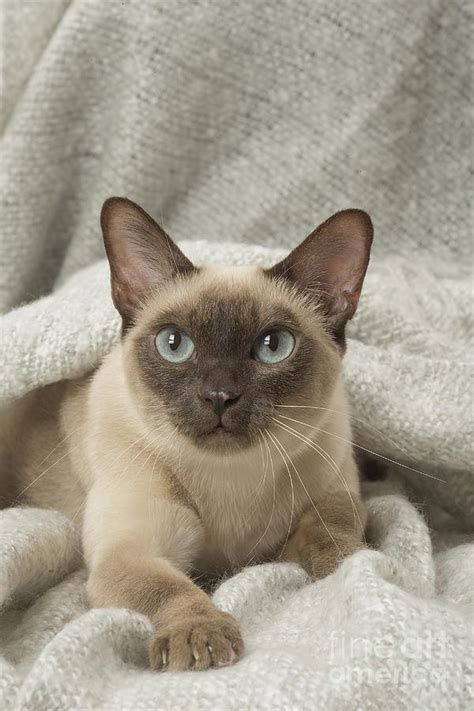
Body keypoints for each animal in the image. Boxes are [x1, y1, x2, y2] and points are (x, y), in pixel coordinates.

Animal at [1, 197, 376, 672]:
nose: (219, 396)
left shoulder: (335, 490)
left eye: (274, 346)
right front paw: (201, 638)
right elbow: (170, 590)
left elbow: (332, 532)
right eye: (174, 344)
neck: (233, 480)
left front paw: (348, 568)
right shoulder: (133, 553)